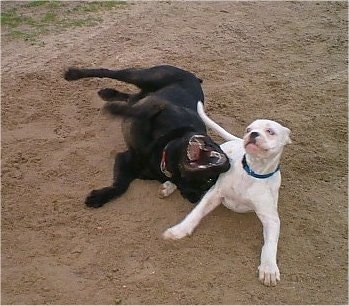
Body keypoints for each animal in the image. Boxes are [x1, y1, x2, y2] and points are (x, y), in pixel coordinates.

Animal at [64, 64, 230, 208]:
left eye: (208, 181)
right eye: (214, 144)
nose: (226, 163)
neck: (164, 153)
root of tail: (195, 78)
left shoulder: (128, 161)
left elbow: (121, 186)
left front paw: (100, 197)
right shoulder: (159, 108)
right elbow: (141, 113)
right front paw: (115, 109)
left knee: (131, 97)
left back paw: (108, 93)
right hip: (144, 77)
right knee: (109, 73)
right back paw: (74, 74)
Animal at [163, 101, 290, 286]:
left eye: (270, 131)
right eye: (248, 129)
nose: (252, 134)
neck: (251, 170)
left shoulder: (271, 218)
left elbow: (270, 243)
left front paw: (269, 268)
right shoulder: (214, 193)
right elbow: (195, 214)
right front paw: (178, 230)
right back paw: (169, 185)